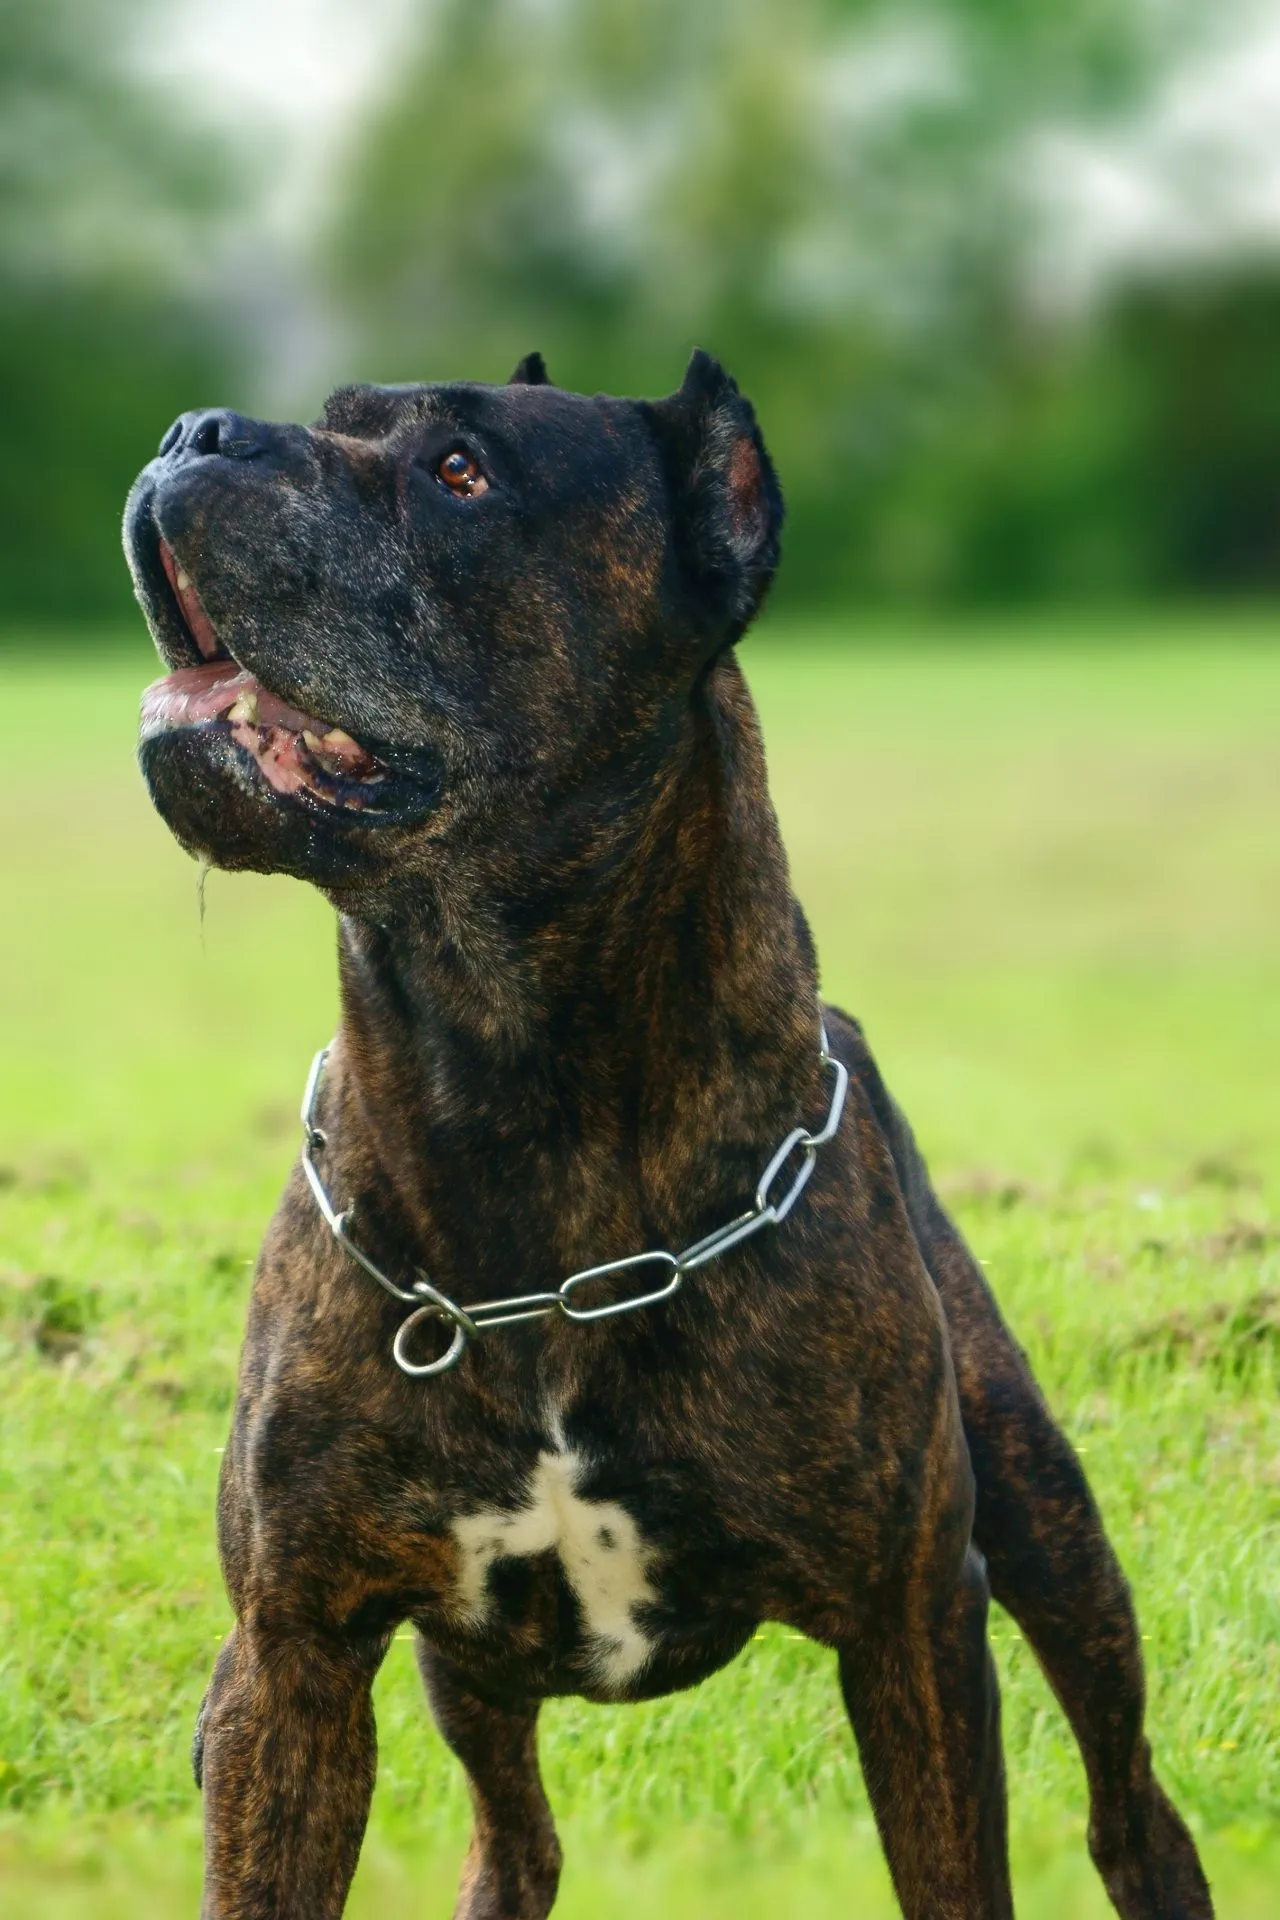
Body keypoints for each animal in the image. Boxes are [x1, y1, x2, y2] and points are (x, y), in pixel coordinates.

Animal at [122, 357, 1212, 1920]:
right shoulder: (290, 1662)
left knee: (1129, 1795)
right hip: (464, 1672)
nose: (191, 434)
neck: (507, 1077)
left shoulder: (914, 1632)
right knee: (517, 1837)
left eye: (460, 472)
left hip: (1047, 1527)